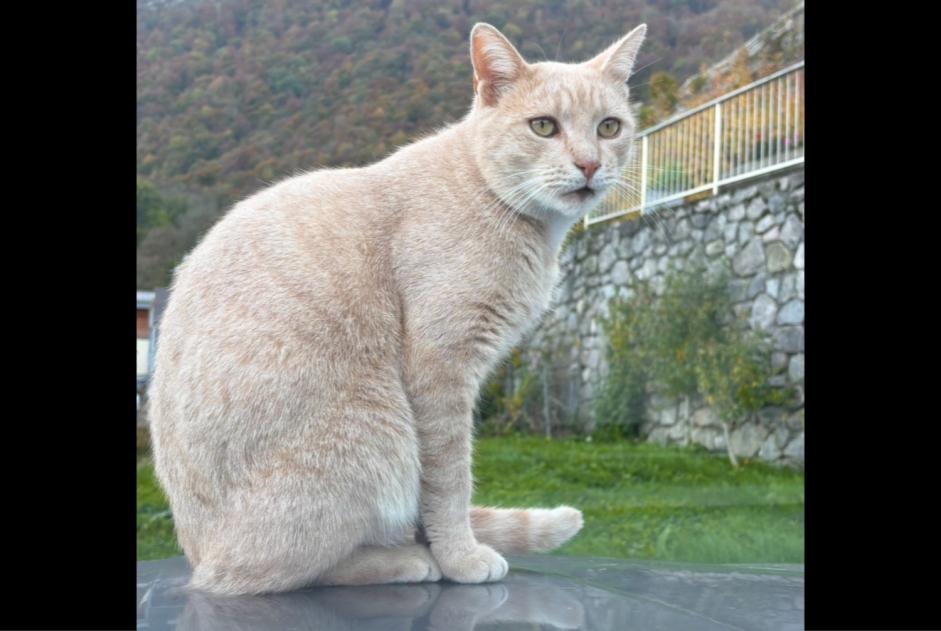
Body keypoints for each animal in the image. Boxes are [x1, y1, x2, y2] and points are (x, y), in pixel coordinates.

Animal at [149, 19, 648, 596]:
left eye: (609, 127)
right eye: (543, 126)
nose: (590, 163)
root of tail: (195, 549)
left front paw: (445, 547)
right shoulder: (440, 368)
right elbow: (451, 481)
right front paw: (460, 558)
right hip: (376, 429)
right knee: (262, 573)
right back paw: (404, 560)